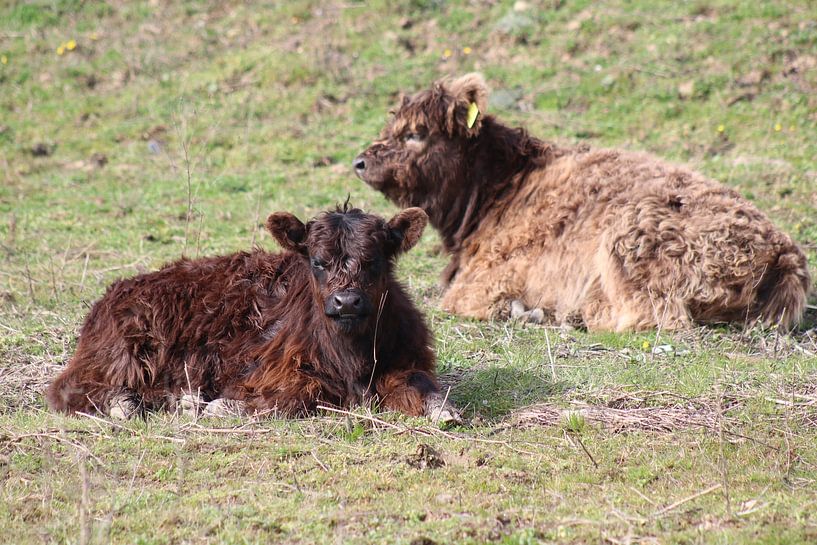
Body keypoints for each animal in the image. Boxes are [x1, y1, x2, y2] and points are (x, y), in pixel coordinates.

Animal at [47, 204, 458, 422]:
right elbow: (298, 395)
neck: (352, 358)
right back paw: (128, 404)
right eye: (318, 261)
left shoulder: (406, 360)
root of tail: (115, 291)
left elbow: (425, 386)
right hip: (124, 350)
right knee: (69, 388)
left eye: (374, 260)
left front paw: (447, 411)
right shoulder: (269, 371)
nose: (346, 302)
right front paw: (223, 406)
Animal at [354, 73, 811, 332]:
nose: (360, 162)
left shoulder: (484, 282)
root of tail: (784, 252)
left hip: (627, 245)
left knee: (653, 318)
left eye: (416, 133)